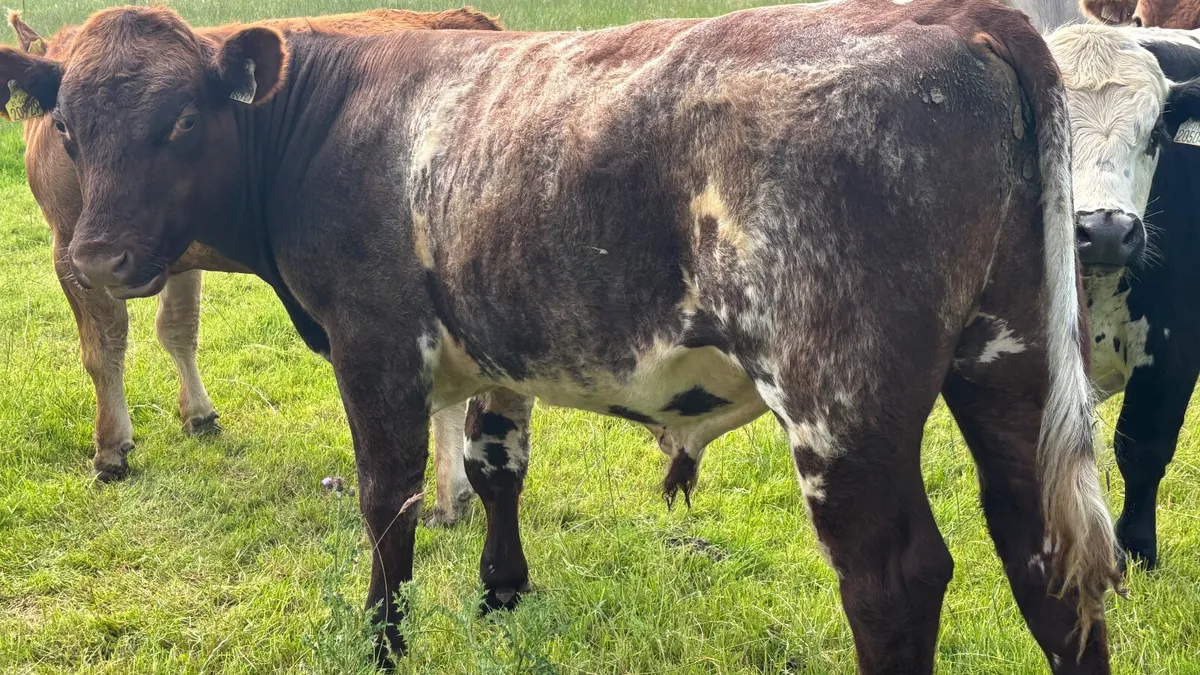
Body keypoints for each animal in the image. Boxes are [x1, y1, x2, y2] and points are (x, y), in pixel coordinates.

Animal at [6, 8, 500, 526]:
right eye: (63, 125)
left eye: (186, 121)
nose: (101, 257)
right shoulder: (164, 252)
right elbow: (178, 329)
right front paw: (197, 414)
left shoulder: (67, 245)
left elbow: (102, 349)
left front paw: (110, 449)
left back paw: (447, 495)